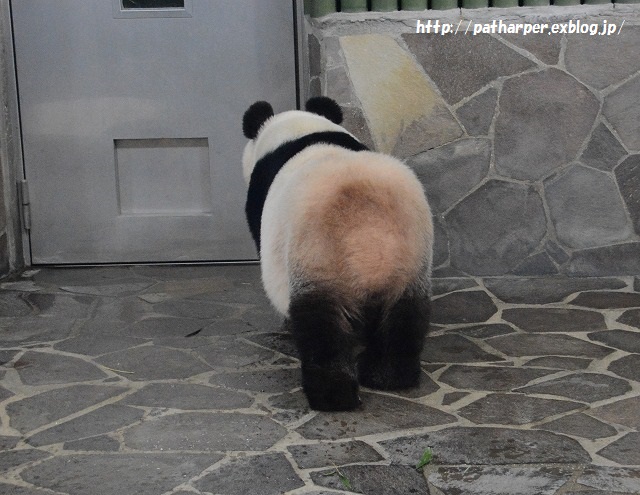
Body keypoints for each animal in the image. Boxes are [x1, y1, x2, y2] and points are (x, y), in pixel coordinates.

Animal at [241, 96, 436, 410]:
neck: (298, 130)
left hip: (317, 257)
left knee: (321, 329)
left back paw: (332, 395)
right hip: (410, 258)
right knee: (405, 320)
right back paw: (389, 376)